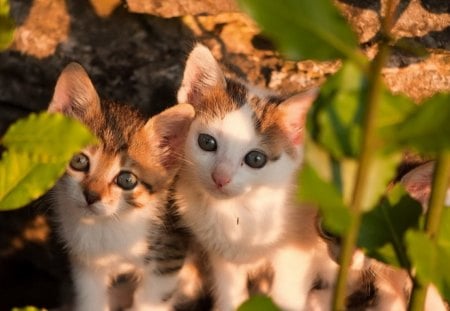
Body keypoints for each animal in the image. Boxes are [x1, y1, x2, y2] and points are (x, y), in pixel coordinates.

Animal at [48, 62, 195, 310]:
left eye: (127, 180)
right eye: (79, 161)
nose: (91, 195)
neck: (107, 224)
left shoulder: (168, 256)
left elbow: (150, 301)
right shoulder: (87, 265)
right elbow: (91, 299)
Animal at [175, 44, 338, 311]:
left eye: (255, 159)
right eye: (207, 142)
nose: (220, 177)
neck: (236, 210)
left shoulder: (298, 252)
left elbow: (287, 294)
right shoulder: (222, 252)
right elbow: (230, 291)